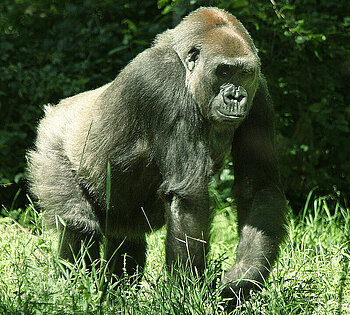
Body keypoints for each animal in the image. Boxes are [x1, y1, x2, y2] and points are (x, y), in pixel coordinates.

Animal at [26, 6, 288, 304]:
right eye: (223, 71)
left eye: (243, 73)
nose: (236, 97)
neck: (184, 64)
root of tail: (54, 110)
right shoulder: (163, 81)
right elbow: (188, 198)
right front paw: (187, 292)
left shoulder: (260, 94)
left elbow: (258, 187)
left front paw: (241, 280)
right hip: (50, 145)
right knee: (78, 223)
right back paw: (77, 292)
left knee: (126, 237)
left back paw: (118, 293)